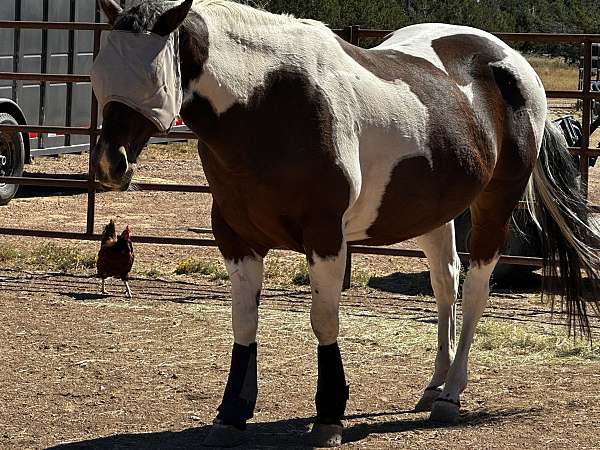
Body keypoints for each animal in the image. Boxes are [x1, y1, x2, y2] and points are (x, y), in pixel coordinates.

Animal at [91, 0, 596, 444]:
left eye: (152, 79)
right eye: (98, 75)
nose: (110, 165)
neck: (269, 102)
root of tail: (511, 62)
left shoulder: (325, 237)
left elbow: (324, 321)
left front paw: (330, 415)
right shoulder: (236, 238)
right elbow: (244, 323)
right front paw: (232, 414)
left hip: (494, 204)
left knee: (474, 290)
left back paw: (451, 395)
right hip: (436, 212)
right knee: (445, 283)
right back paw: (434, 384)